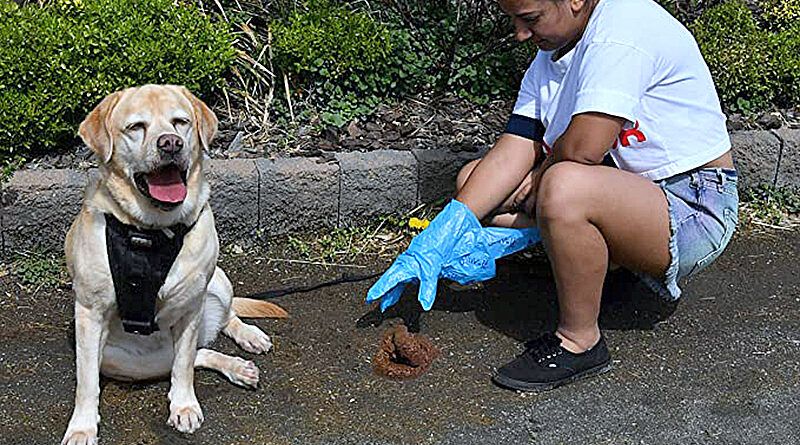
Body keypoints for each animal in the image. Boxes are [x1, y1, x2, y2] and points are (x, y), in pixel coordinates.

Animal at [63, 84, 282, 444]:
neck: (150, 231)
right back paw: (237, 368)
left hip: (218, 282)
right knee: (197, 355)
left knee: (218, 326)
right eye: (136, 127)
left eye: (180, 122)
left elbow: (182, 367)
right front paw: (82, 427)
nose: (170, 143)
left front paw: (184, 406)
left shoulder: (190, 307)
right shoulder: (90, 314)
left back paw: (248, 339)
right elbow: (87, 381)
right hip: (124, 361)